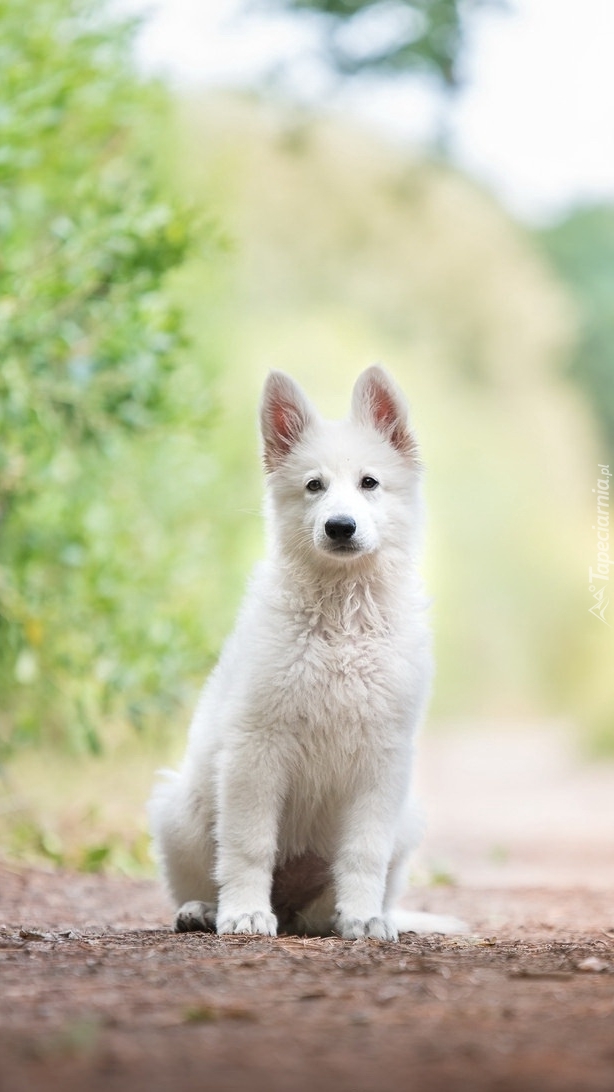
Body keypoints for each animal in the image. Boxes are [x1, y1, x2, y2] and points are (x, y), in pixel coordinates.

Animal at [149, 366, 463, 939]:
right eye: (313, 486)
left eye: (369, 483)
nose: (340, 526)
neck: (342, 618)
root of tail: (293, 908)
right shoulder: (255, 747)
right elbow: (248, 845)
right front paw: (245, 913)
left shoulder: (383, 757)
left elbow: (364, 852)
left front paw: (363, 918)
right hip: (179, 810)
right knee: (205, 874)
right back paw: (205, 910)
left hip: (408, 818)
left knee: (332, 899)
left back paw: (349, 917)